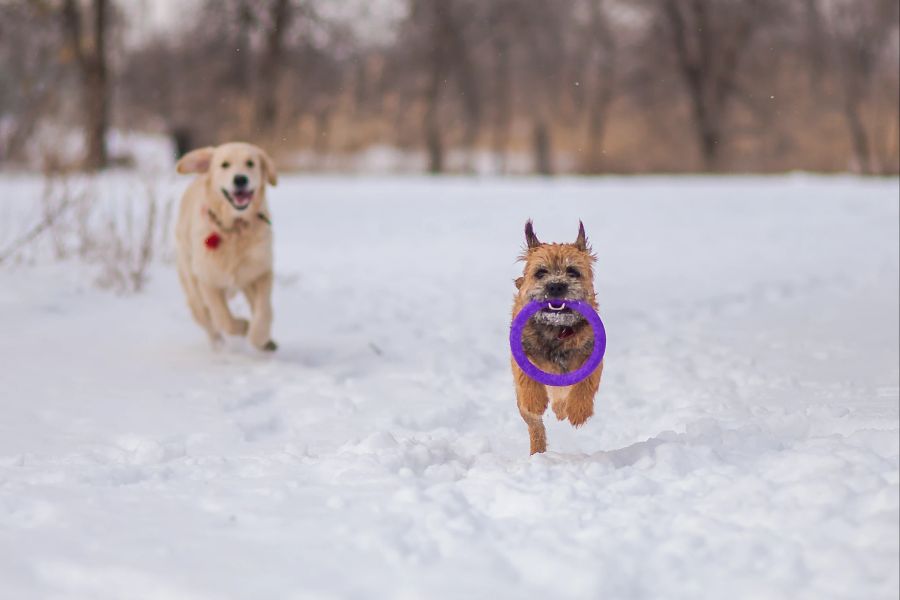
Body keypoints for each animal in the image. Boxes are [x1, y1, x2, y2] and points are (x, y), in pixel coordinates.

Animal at [174, 141, 276, 352]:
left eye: (250, 163)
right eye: (225, 165)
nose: (240, 179)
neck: (234, 229)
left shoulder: (261, 270)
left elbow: (264, 310)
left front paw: (259, 337)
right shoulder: (208, 279)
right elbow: (223, 317)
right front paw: (243, 326)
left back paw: (266, 342)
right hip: (193, 290)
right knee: (208, 320)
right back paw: (218, 346)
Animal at [512, 221, 604, 454]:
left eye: (573, 271)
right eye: (541, 272)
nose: (555, 285)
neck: (557, 329)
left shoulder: (592, 355)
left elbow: (586, 382)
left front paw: (579, 412)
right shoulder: (521, 353)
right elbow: (527, 379)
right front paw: (535, 401)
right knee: (535, 425)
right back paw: (537, 451)